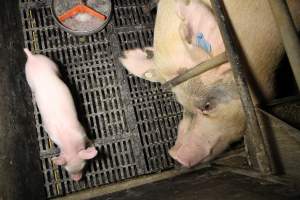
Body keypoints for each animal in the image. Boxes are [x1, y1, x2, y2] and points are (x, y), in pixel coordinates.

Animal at [24, 48, 98, 181]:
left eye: (84, 165)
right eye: (66, 169)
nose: (77, 179)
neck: (69, 142)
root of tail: (32, 57)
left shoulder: (81, 130)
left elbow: (88, 139)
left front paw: (92, 144)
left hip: (50, 63)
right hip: (29, 76)